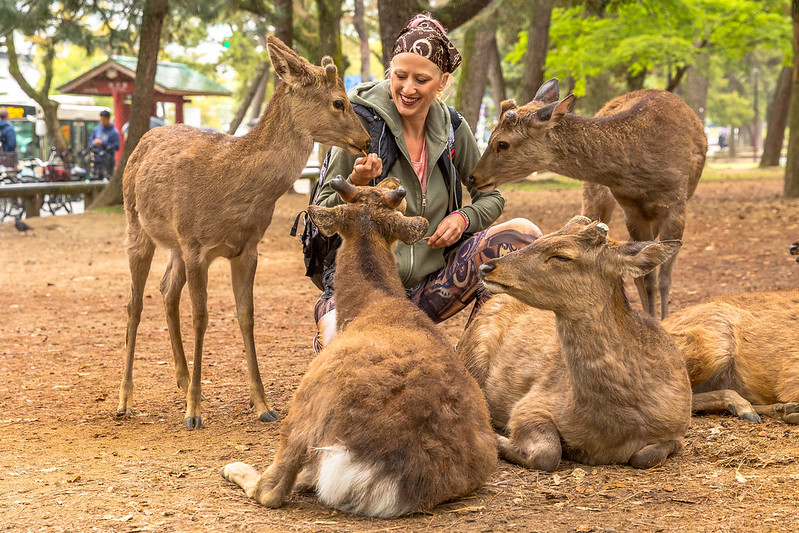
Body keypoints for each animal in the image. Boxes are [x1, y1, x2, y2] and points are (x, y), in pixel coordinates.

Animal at [116, 36, 372, 428]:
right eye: (338, 101)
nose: (367, 140)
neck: (232, 188)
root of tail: (143, 141)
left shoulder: (248, 248)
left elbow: (247, 316)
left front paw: (263, 405)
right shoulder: (196, 245)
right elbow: (201, 318)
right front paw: (194, 413)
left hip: (173, 244)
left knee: (166, 290)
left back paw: (184, 381)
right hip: (136, 226)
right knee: (134, 303)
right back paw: (126, 400)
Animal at [219, 178, 494, 516]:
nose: (393, 180)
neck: (370, 303)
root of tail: (385, 477)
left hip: (307, 403)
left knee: (273, 488)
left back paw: (234, 467)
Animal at [456, 215, 692, 470]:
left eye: (562, 256)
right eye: (542, 238)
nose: (486, 267)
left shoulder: (678, 429)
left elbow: (645, 457)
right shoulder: (530, 403)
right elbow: (548, 453)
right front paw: (500, 439)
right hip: (471, 357)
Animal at [466, 79, 708, 318]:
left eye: (502, 143)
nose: (473, 177)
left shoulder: (675, 204)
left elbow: (664, 277)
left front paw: (664, 318)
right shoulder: (631, 209)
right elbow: (647, 276)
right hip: (594, 196)